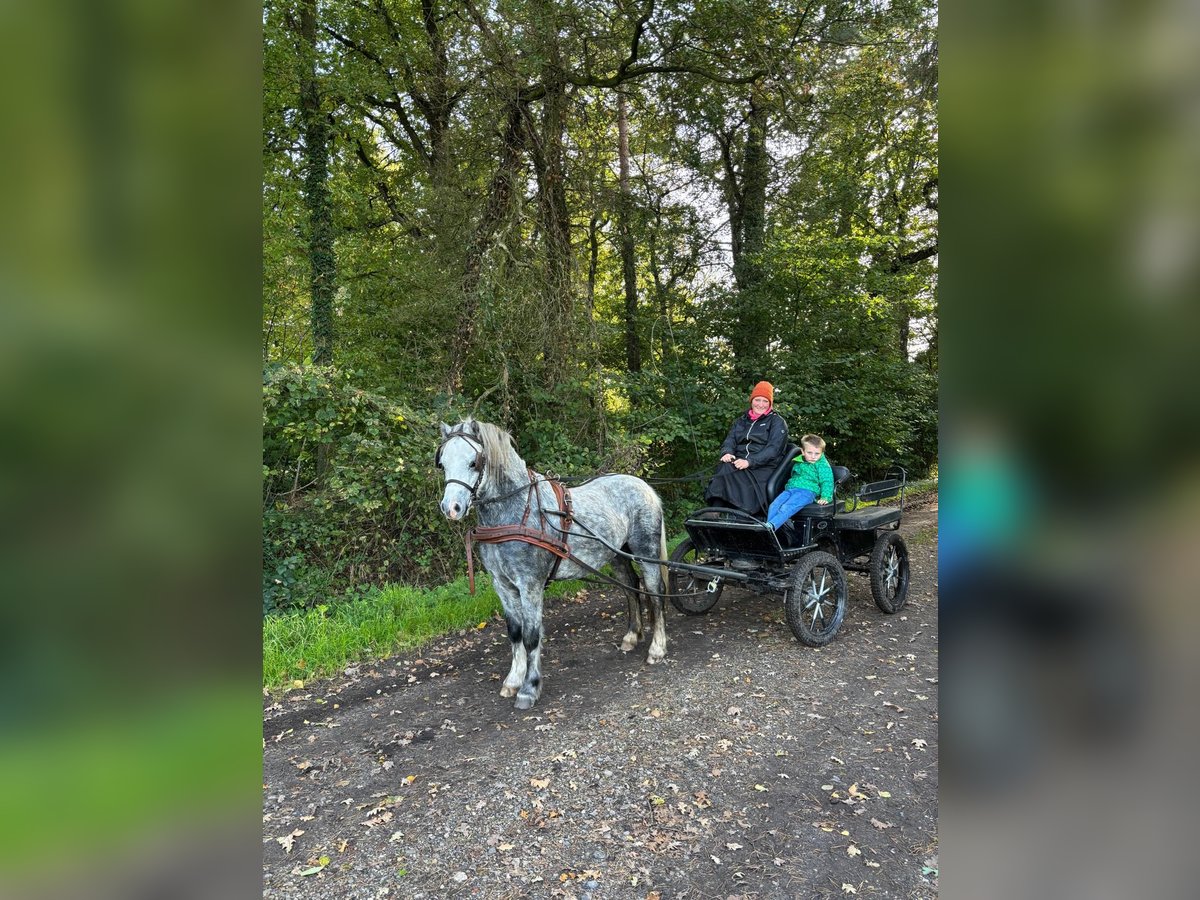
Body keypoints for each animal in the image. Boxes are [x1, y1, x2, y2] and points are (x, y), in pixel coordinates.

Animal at [439, 417, 672, 710]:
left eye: (474, 462)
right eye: (442, 462)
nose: (451, 508)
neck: (516, 513)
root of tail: (644, 485)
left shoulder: (530, 584)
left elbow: (531, 636)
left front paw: (529, 688)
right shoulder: (502, 585)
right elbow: (515, 633)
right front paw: (513, 680)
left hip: (646, 552)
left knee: (655, 594)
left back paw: (657, 649)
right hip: (618, 555)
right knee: (631, 588)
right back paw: (631, 636)